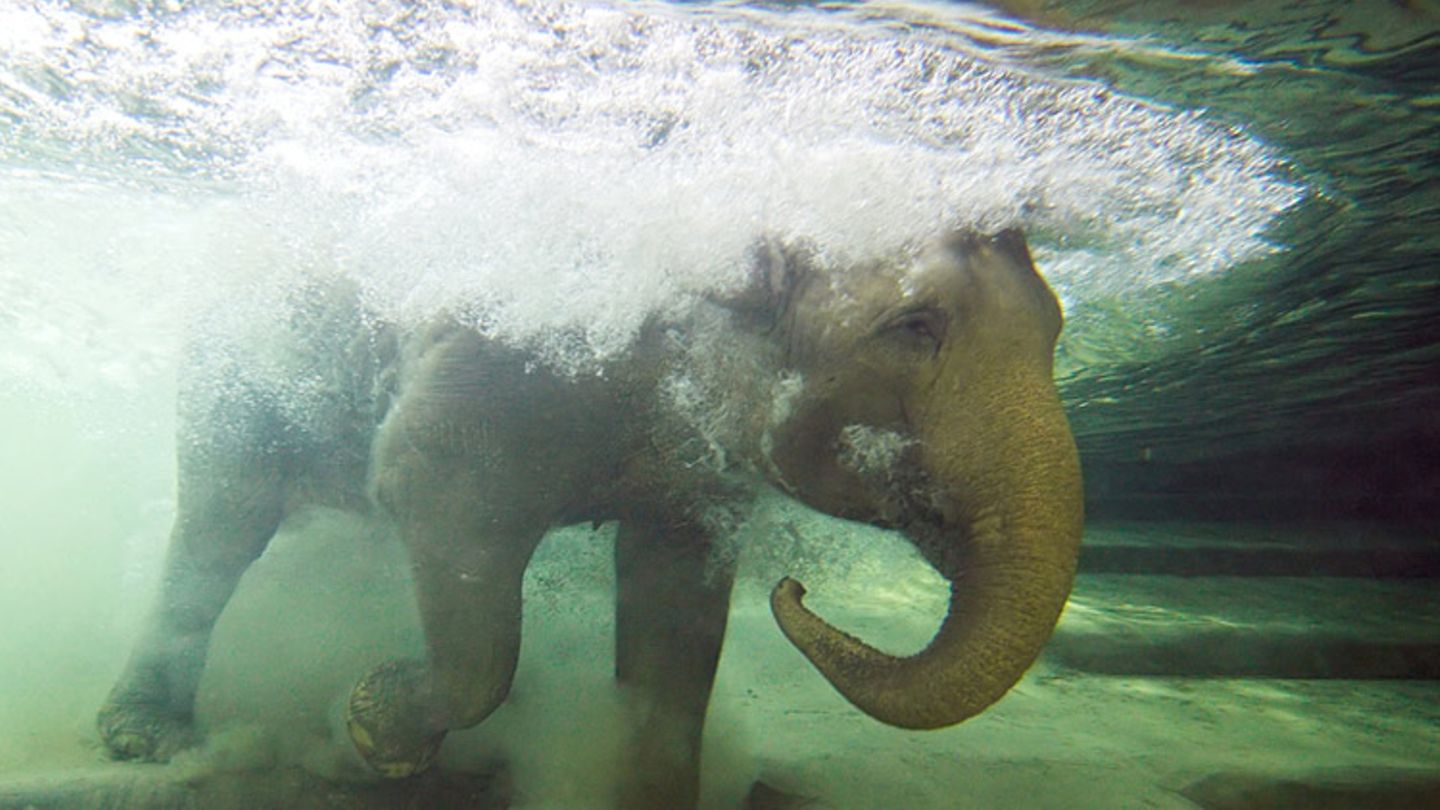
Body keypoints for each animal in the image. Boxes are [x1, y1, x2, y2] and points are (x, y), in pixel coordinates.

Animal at [95, 223, 1082, 801]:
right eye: (914, 326)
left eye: (1059, 328)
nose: (796, 589)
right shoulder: (495, 370)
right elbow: (431, 500)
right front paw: (378, 723)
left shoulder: (692, 468)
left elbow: (677, 612)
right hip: (233, 372)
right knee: (221, 525)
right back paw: (147, 740)